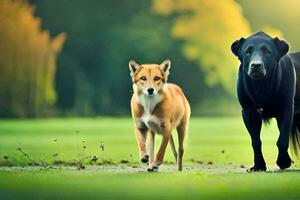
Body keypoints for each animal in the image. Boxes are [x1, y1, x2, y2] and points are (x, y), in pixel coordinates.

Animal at [232, 31, 300, 172]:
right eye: (247, 51)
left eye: (267, 51)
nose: (256, 65)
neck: (261, 87)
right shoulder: (249, 111)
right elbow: (256, 141)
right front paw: (258, 166)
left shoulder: (286, 108)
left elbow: (282, 138)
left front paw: (284, 162)